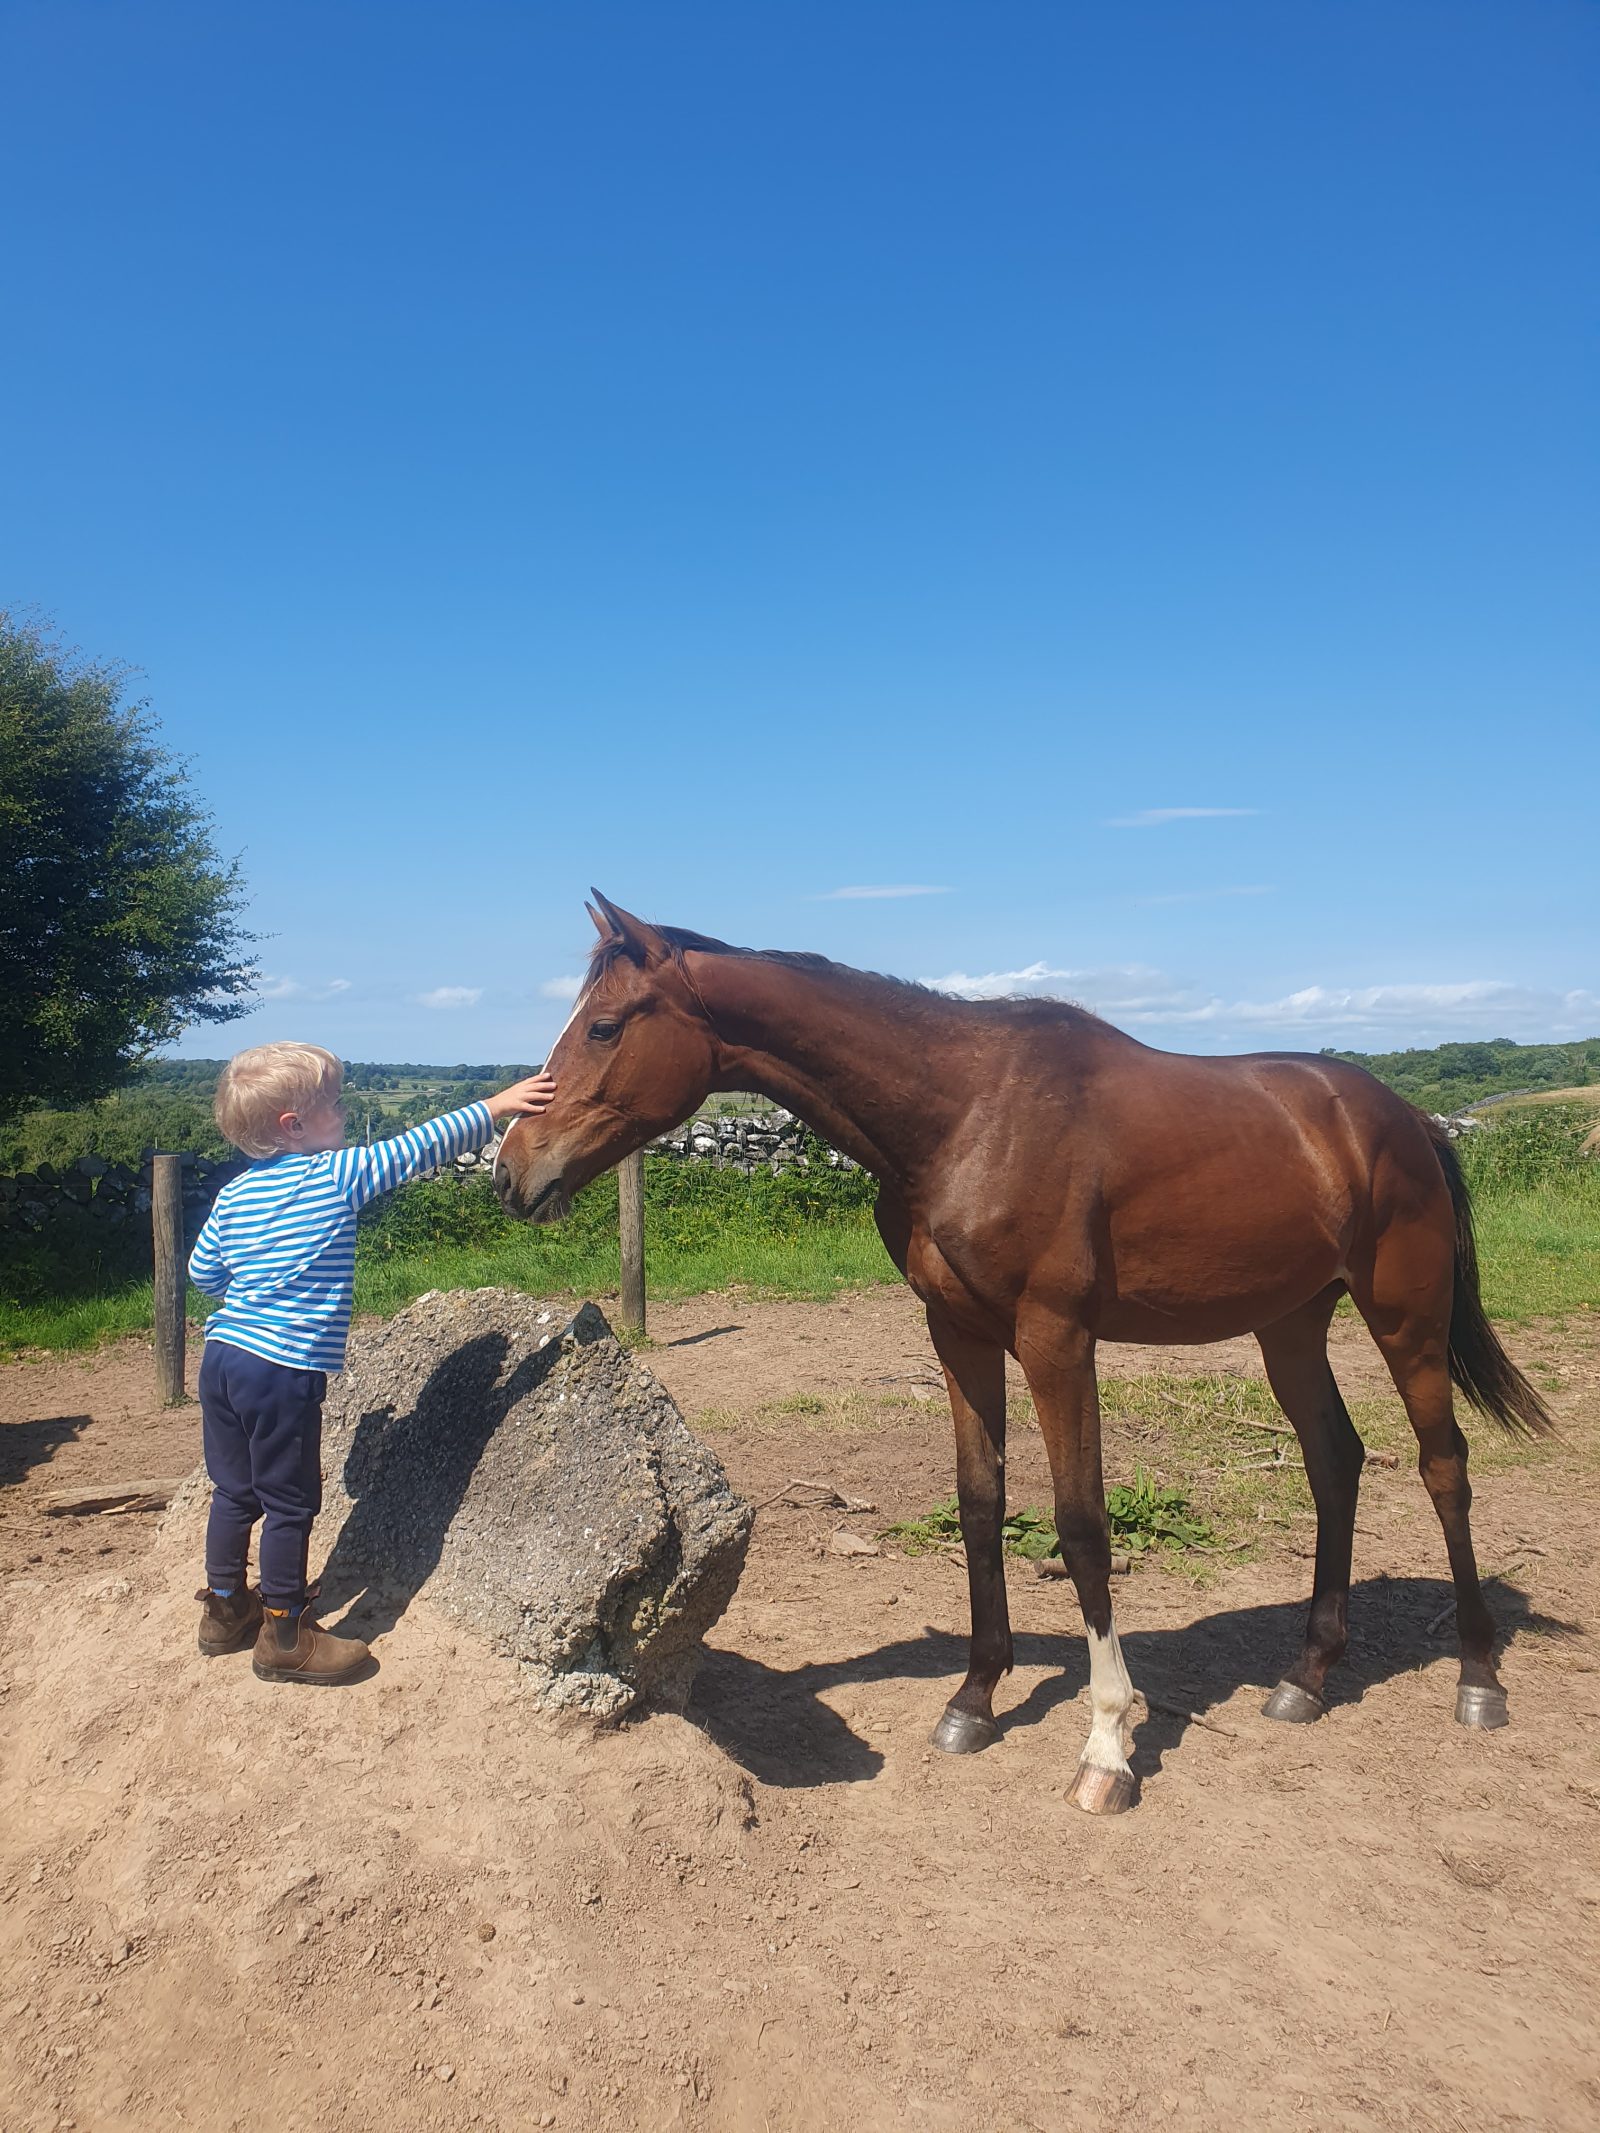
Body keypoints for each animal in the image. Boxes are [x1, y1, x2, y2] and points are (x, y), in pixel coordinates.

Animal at [495, 893, 1551, 1814]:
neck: (964, 1114)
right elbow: (979, 1504)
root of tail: (1403, 1117)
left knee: (1443, 1466)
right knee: (1336, 1460)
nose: (512, 1170)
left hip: (1404, 1318)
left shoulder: (1056, 1339)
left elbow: (1081, 1525)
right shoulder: (957, 1334)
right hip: (1289, 1324)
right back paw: (1307, 1675)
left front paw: (1109, 1744)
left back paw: (1478, 1677)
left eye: (604, 1026)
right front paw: (973, 1697)